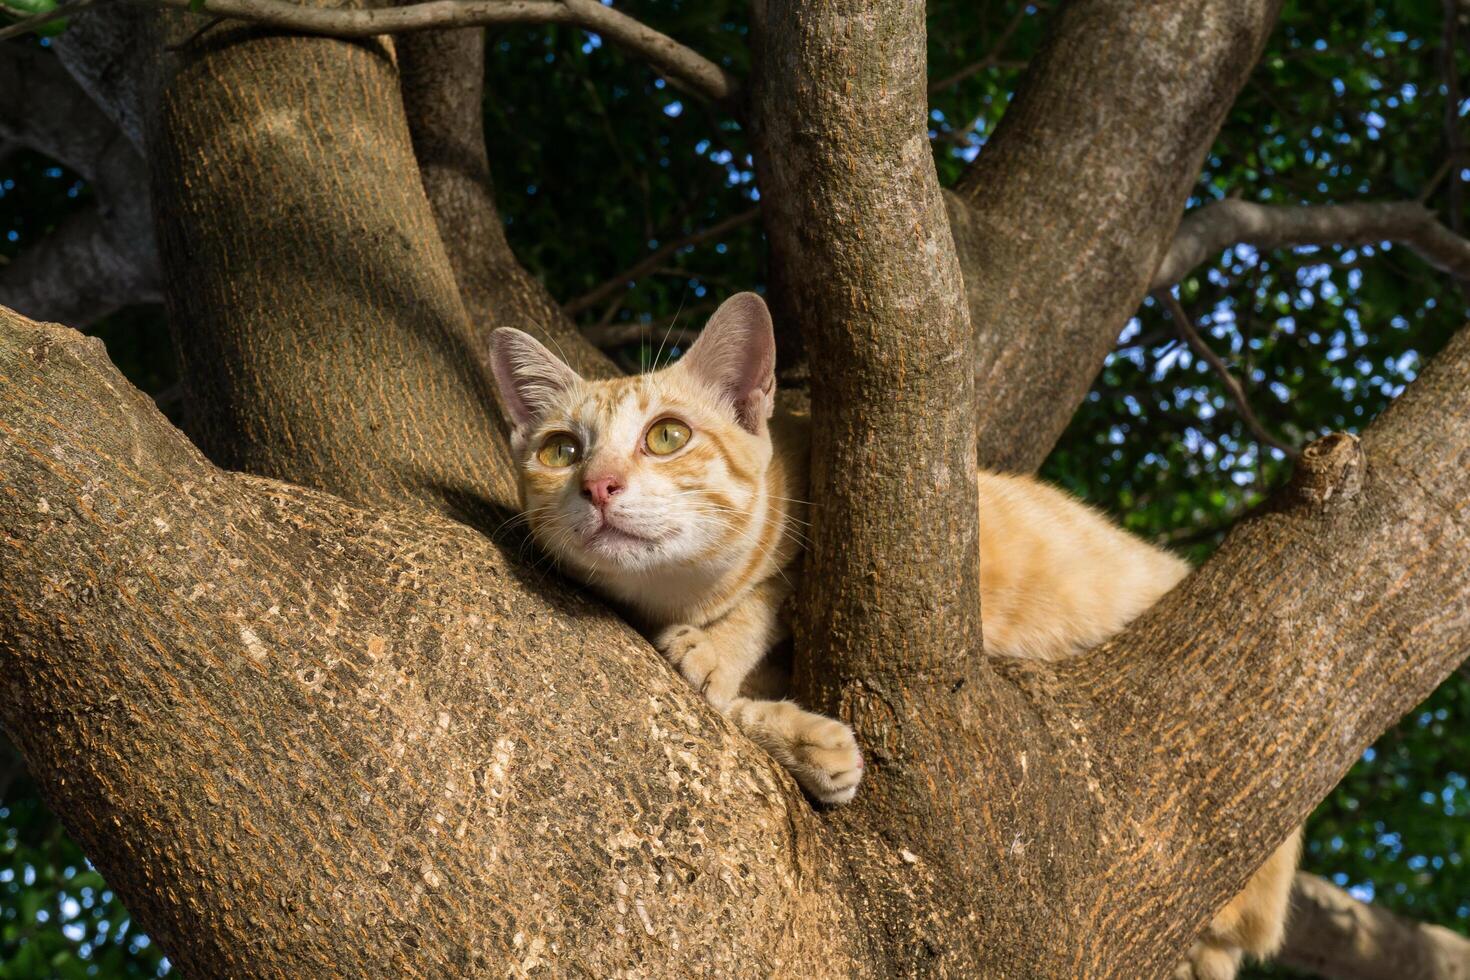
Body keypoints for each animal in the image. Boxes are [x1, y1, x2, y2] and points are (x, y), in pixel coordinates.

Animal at [490, 293, 1299, 980]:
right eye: (561, 450)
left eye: (667, 436)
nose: (597, 486)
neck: (676, 595)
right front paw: (802, 740)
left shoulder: (821, 543)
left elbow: (762, 599)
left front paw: (715, 649)